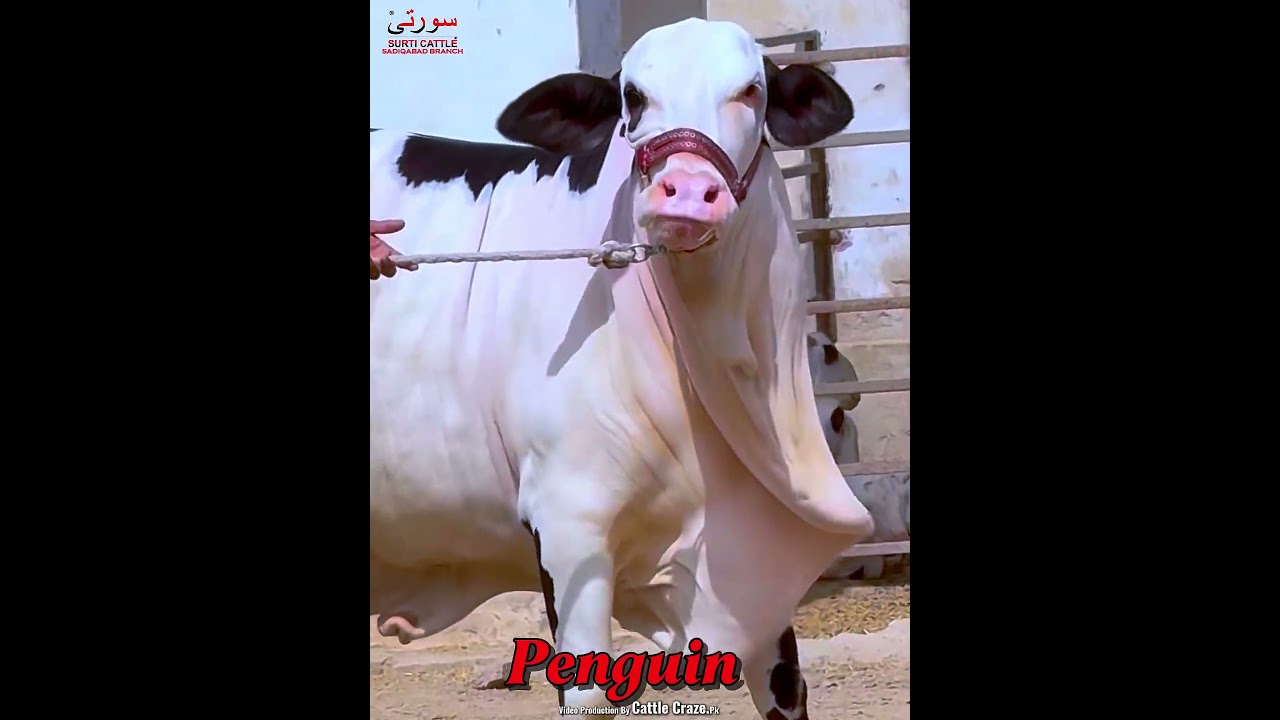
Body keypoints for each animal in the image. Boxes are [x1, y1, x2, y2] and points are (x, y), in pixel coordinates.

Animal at [370, 18, 872, 718]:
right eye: (632, 96)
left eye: (752, 90)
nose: (686, 192)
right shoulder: (568, 523)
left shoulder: (757, 570)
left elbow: (787, 686)